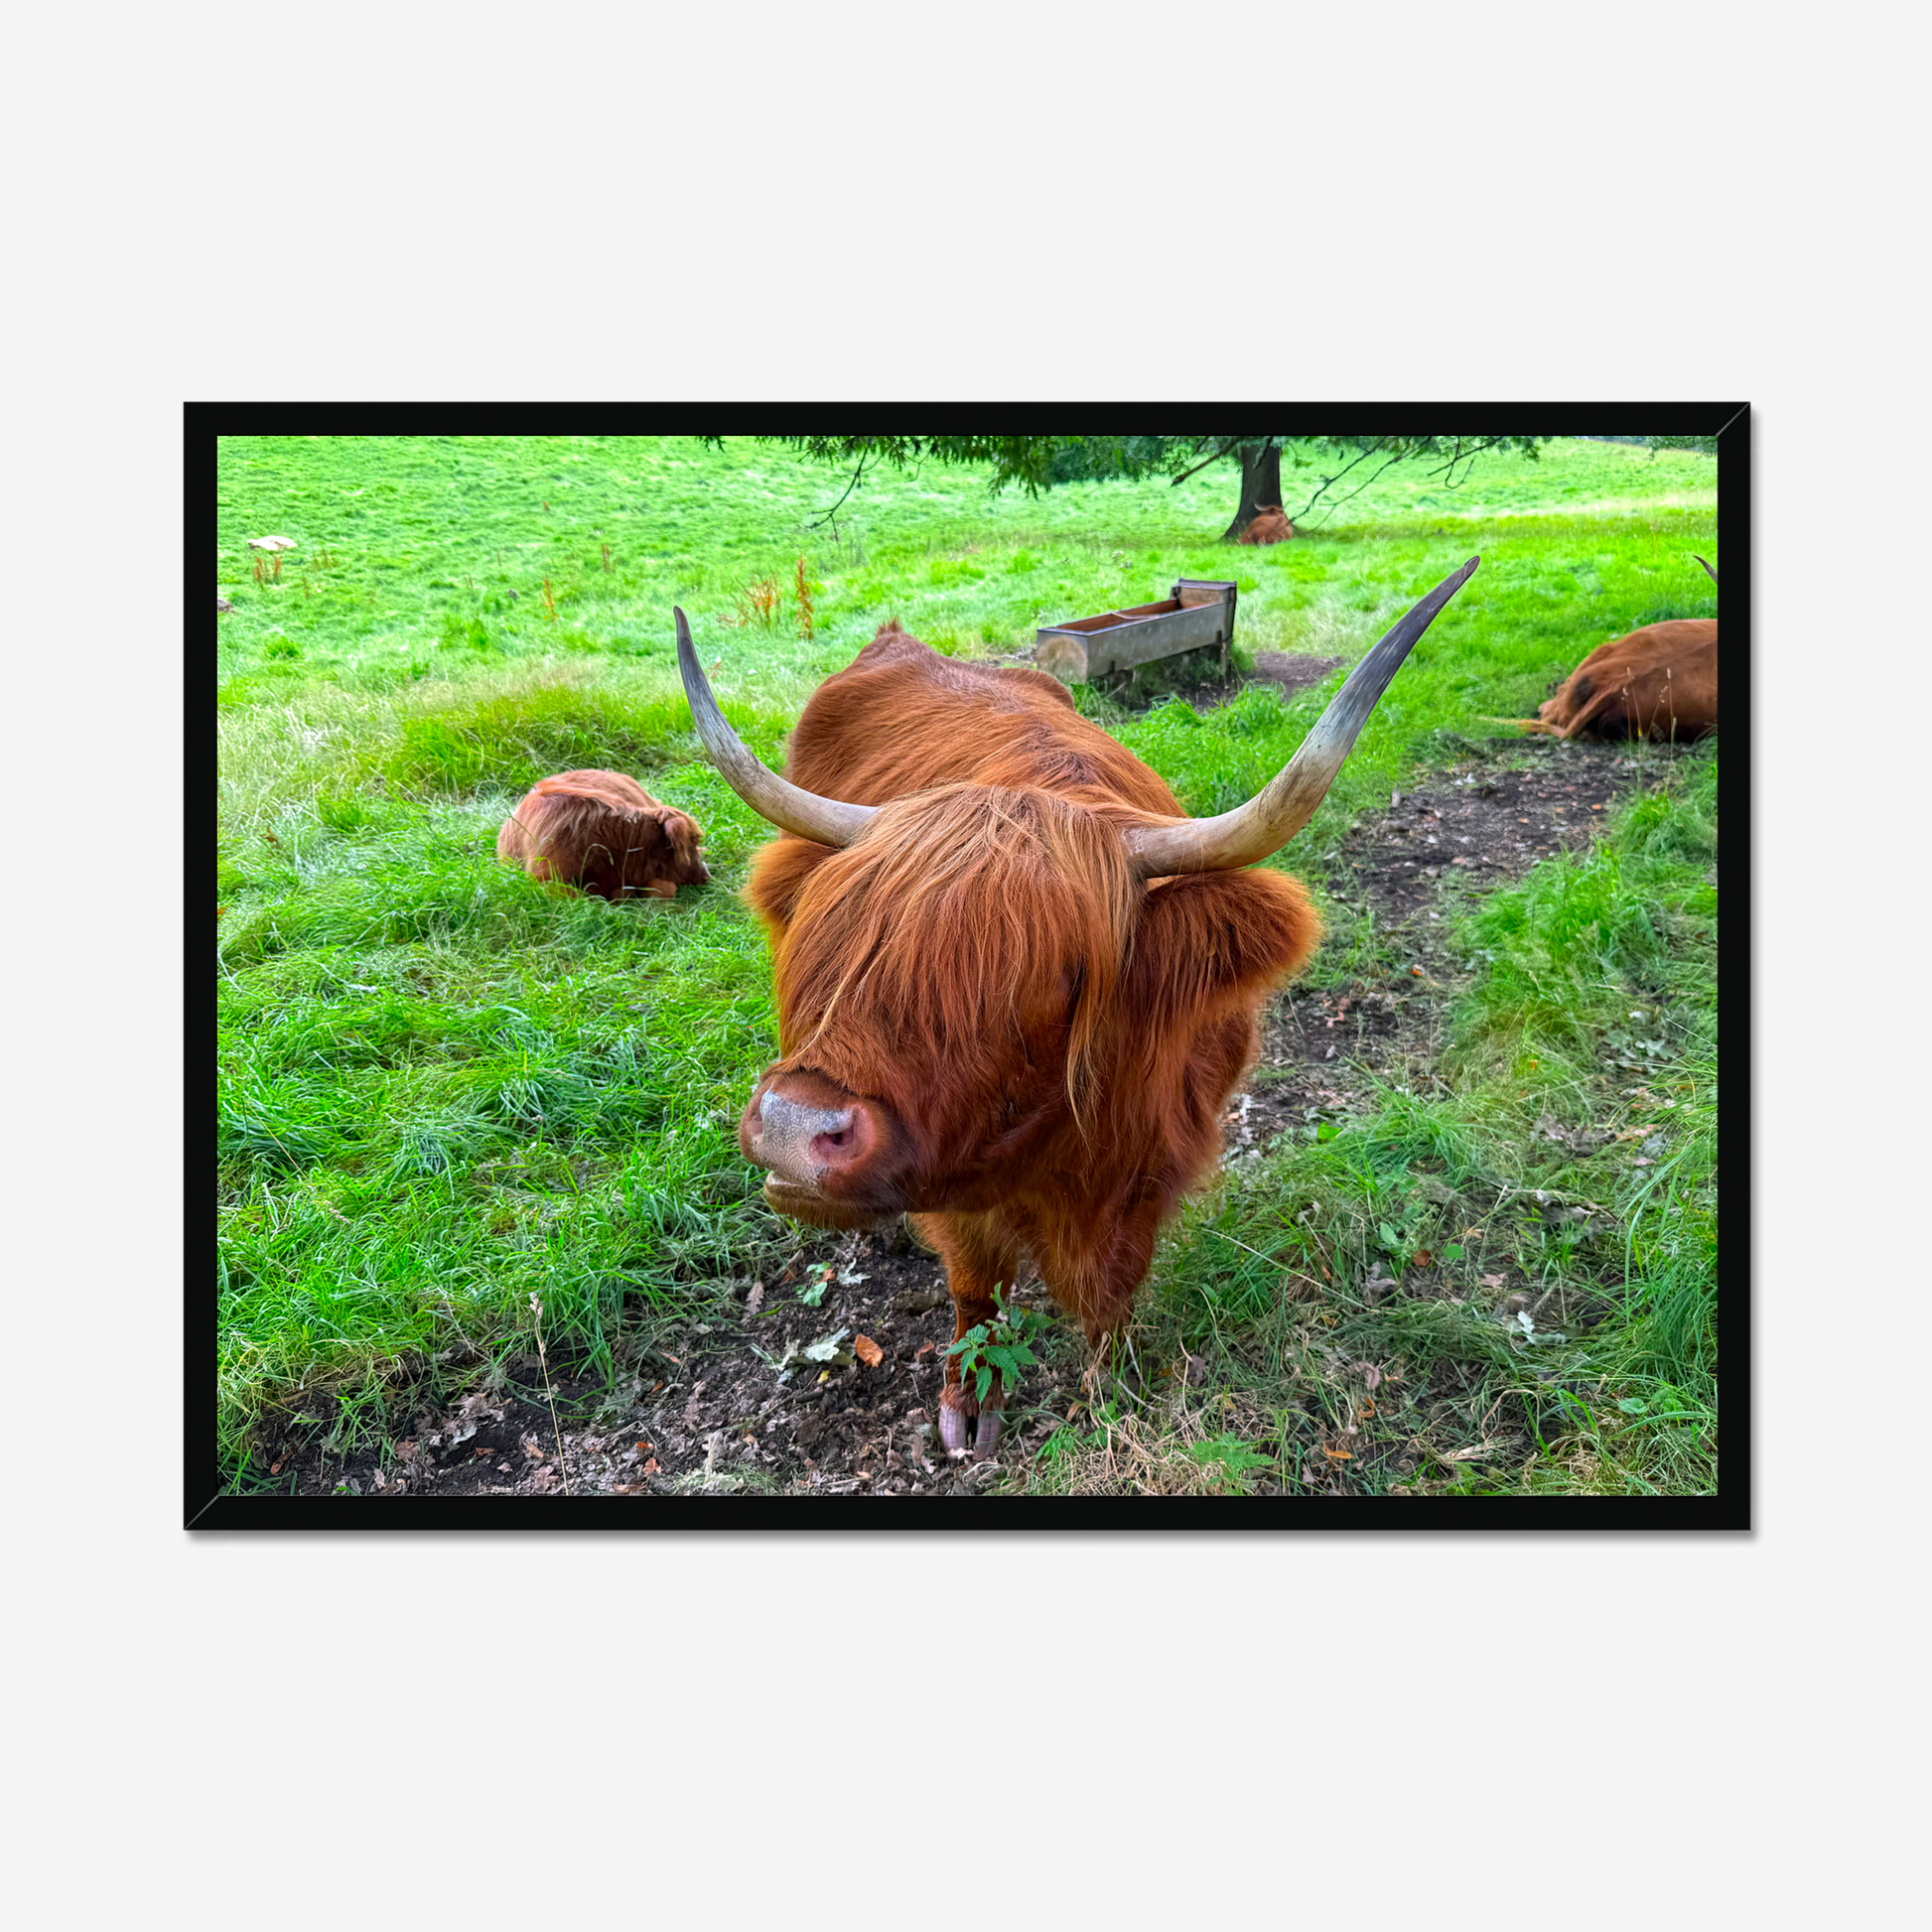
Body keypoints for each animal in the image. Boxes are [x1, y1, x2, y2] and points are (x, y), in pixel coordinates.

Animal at [675, 559, 1479, 1458]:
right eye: (840, 938)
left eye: (1056, 976)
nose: (793, 1127)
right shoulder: (958, 1187)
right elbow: (974, 1284)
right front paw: (969, 1402)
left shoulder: (1154, 1164)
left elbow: (1112, 1290)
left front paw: (1111, 1388)